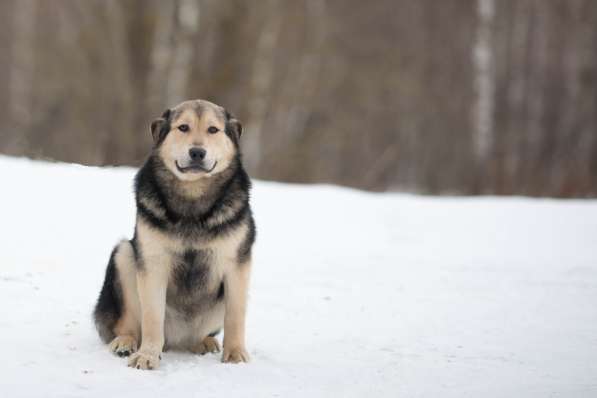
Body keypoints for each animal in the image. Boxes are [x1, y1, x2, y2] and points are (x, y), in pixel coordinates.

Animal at [92, 99, 254, 370]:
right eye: (183, 127)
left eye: (213, 130)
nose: (197, 152)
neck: (192, 200)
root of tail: (178, 340)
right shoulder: (153, 263)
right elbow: (151, 316)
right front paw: (147, 355)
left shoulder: (237, 264)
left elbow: (236, 315)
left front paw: (235, 353)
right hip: (124, 255)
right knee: (128, 323)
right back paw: (125, 342)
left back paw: (205, 342)